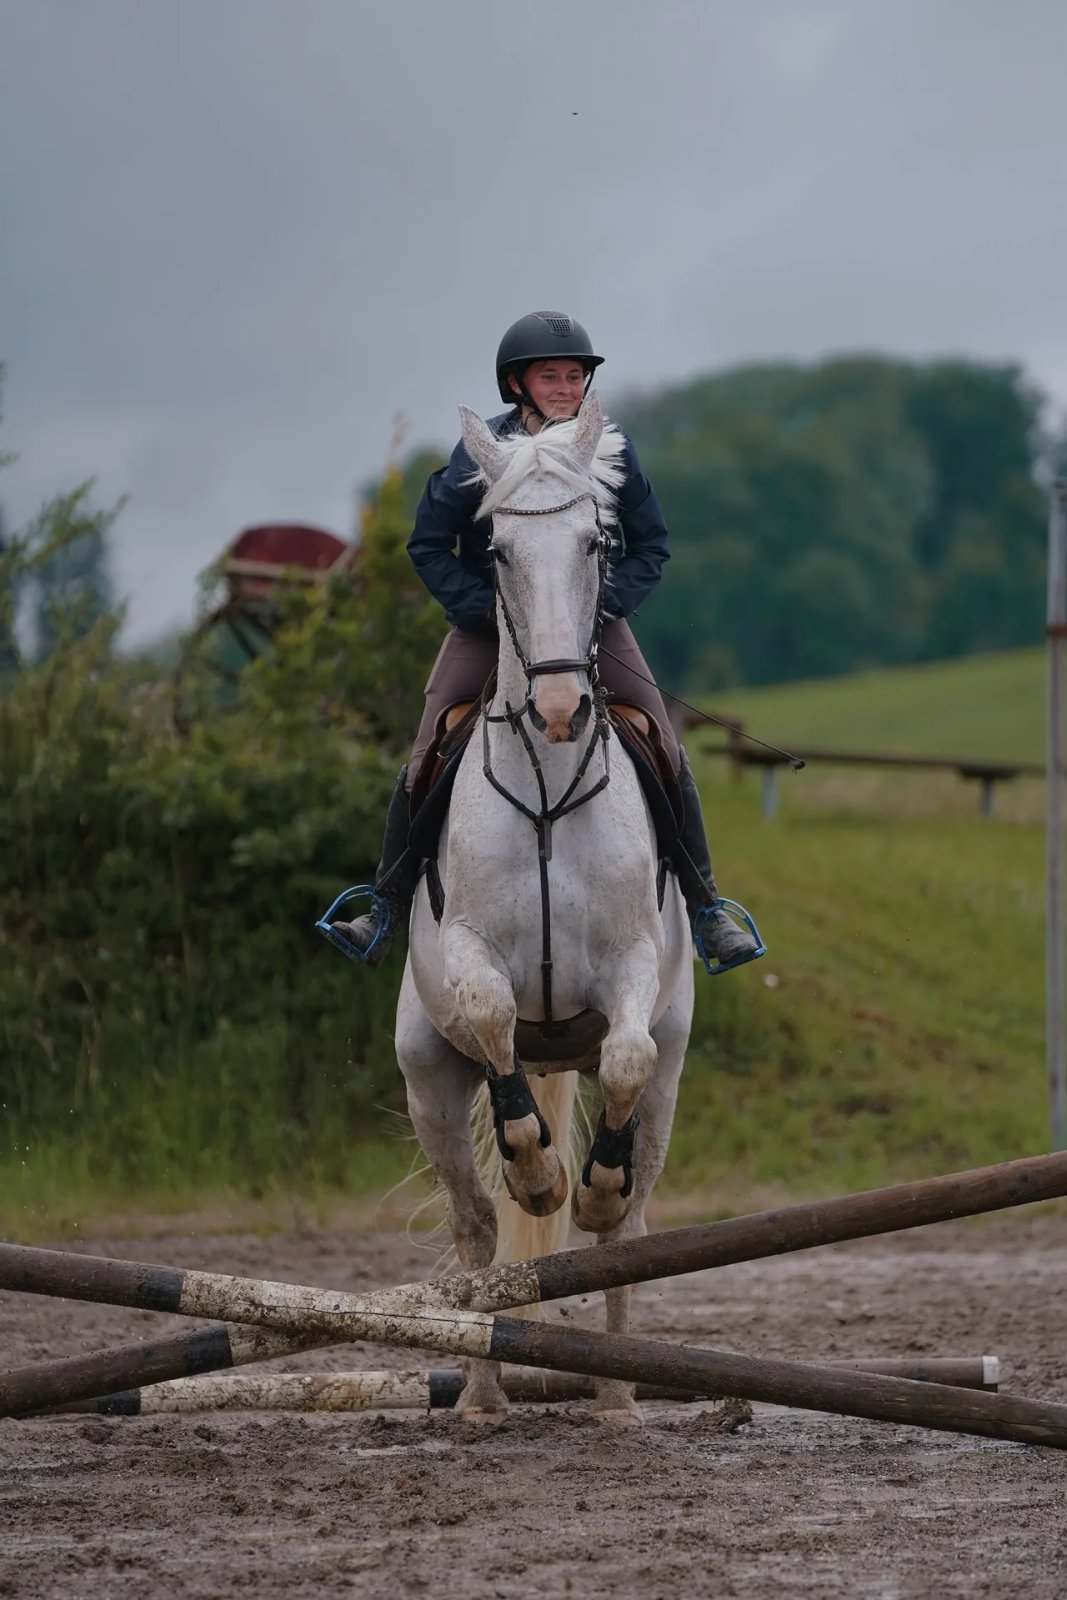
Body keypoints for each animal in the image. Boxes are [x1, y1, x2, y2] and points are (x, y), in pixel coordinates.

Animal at [396, 391, 695, 1424]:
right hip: (426, 1079)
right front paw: (538, 1169)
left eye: (597, 541)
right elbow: (491, 1017)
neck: (549, 783)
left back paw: (615, 1393)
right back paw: (484, 1396)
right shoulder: (469, 956)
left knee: (629, 1229)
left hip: (669, 1075)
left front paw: (588, 1187)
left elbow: (626, 1058)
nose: (563, 707)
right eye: (494, 550)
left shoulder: (633, 968)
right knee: (477, 1227)